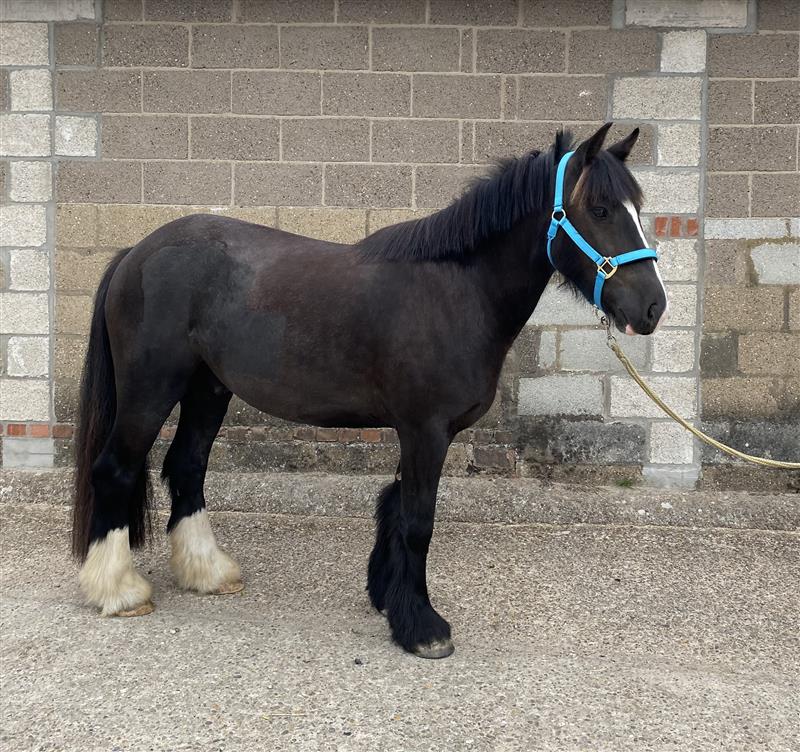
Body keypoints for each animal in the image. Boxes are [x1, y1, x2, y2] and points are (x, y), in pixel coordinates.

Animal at [71, 122, 667, 659]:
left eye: (637, 206)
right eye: (600, 210)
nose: (653, 307)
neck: (455, 291)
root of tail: (136, 252)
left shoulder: (418, 430)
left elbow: (396, 508)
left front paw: (389, 599)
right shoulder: (426, 430)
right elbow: (418, 521)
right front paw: (424, 628)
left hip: (207, 389)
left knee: (187, 467)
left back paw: (208, 573)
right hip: (151, 388)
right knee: (116, 469)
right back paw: (119, 591)